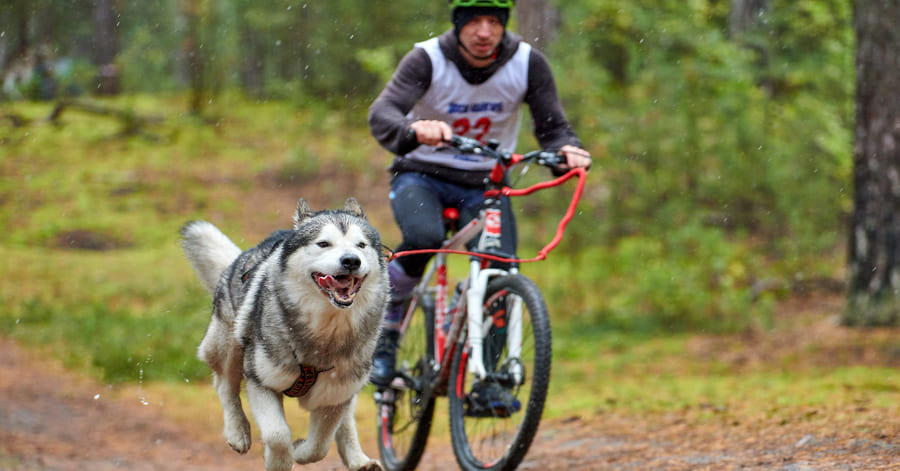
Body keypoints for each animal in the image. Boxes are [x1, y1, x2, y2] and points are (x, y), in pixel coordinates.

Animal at [182, 199, 386, 471]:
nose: (352, 260)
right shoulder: (261, 382)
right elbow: (277, 435)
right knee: (225, 385)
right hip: (229, 345)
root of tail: (241, 257)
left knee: (345, 422)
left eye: (361, 245)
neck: (324, 333)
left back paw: (358, 460)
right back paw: (237, 431)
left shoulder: (335, 396)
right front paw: (280, 459)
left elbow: (320, 445)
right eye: (324, 243)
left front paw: (300, 451)